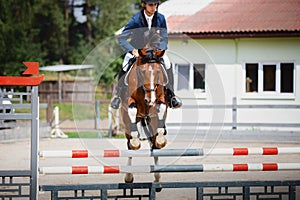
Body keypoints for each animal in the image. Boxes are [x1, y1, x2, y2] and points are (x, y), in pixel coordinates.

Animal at [120, 35, 171, 187]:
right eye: (142, 72)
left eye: (158, 72)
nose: (150, 99)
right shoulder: (129, 102)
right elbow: (132, 109)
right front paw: (136, 141)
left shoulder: (160, 99)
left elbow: (161, 107)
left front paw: (161, 138)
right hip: (128, 122)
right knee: (129, 145)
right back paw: (129, 176)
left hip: (149, 120)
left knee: (154, 145)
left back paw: (157, 178)